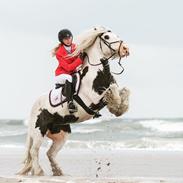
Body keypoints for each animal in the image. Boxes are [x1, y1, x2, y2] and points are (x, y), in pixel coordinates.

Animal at [16, 25, 129, 176]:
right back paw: (39, 172)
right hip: (39, 130)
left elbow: (124, 91)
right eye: (106, 37)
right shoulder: (93, 99)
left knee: (50, 153)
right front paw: (115, 104)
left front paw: (119, 108)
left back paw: (59, 172)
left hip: (61, 134)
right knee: (34, 151)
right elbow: (113, 90)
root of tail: (34, 105)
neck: (97, 73)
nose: (126, 49)